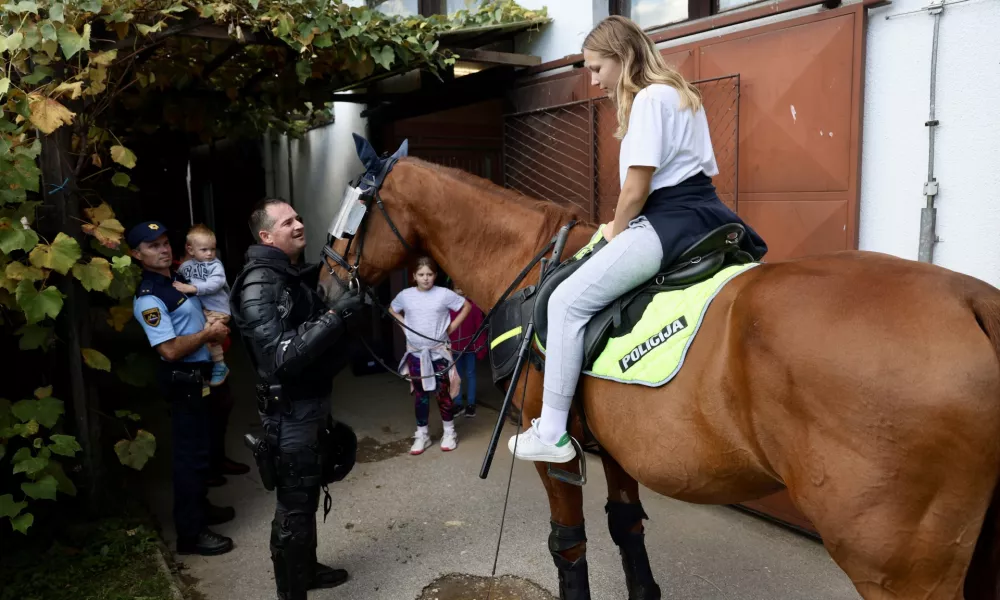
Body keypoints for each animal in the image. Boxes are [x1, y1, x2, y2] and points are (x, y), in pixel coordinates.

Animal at [318, 157, 1000, 596]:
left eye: (354, 206)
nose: (323, 281)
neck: (532, 262)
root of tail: (972, 302)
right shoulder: (618, 450)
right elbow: (627, 533)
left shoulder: (556, 454)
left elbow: (568, 544)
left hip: (895, 566)